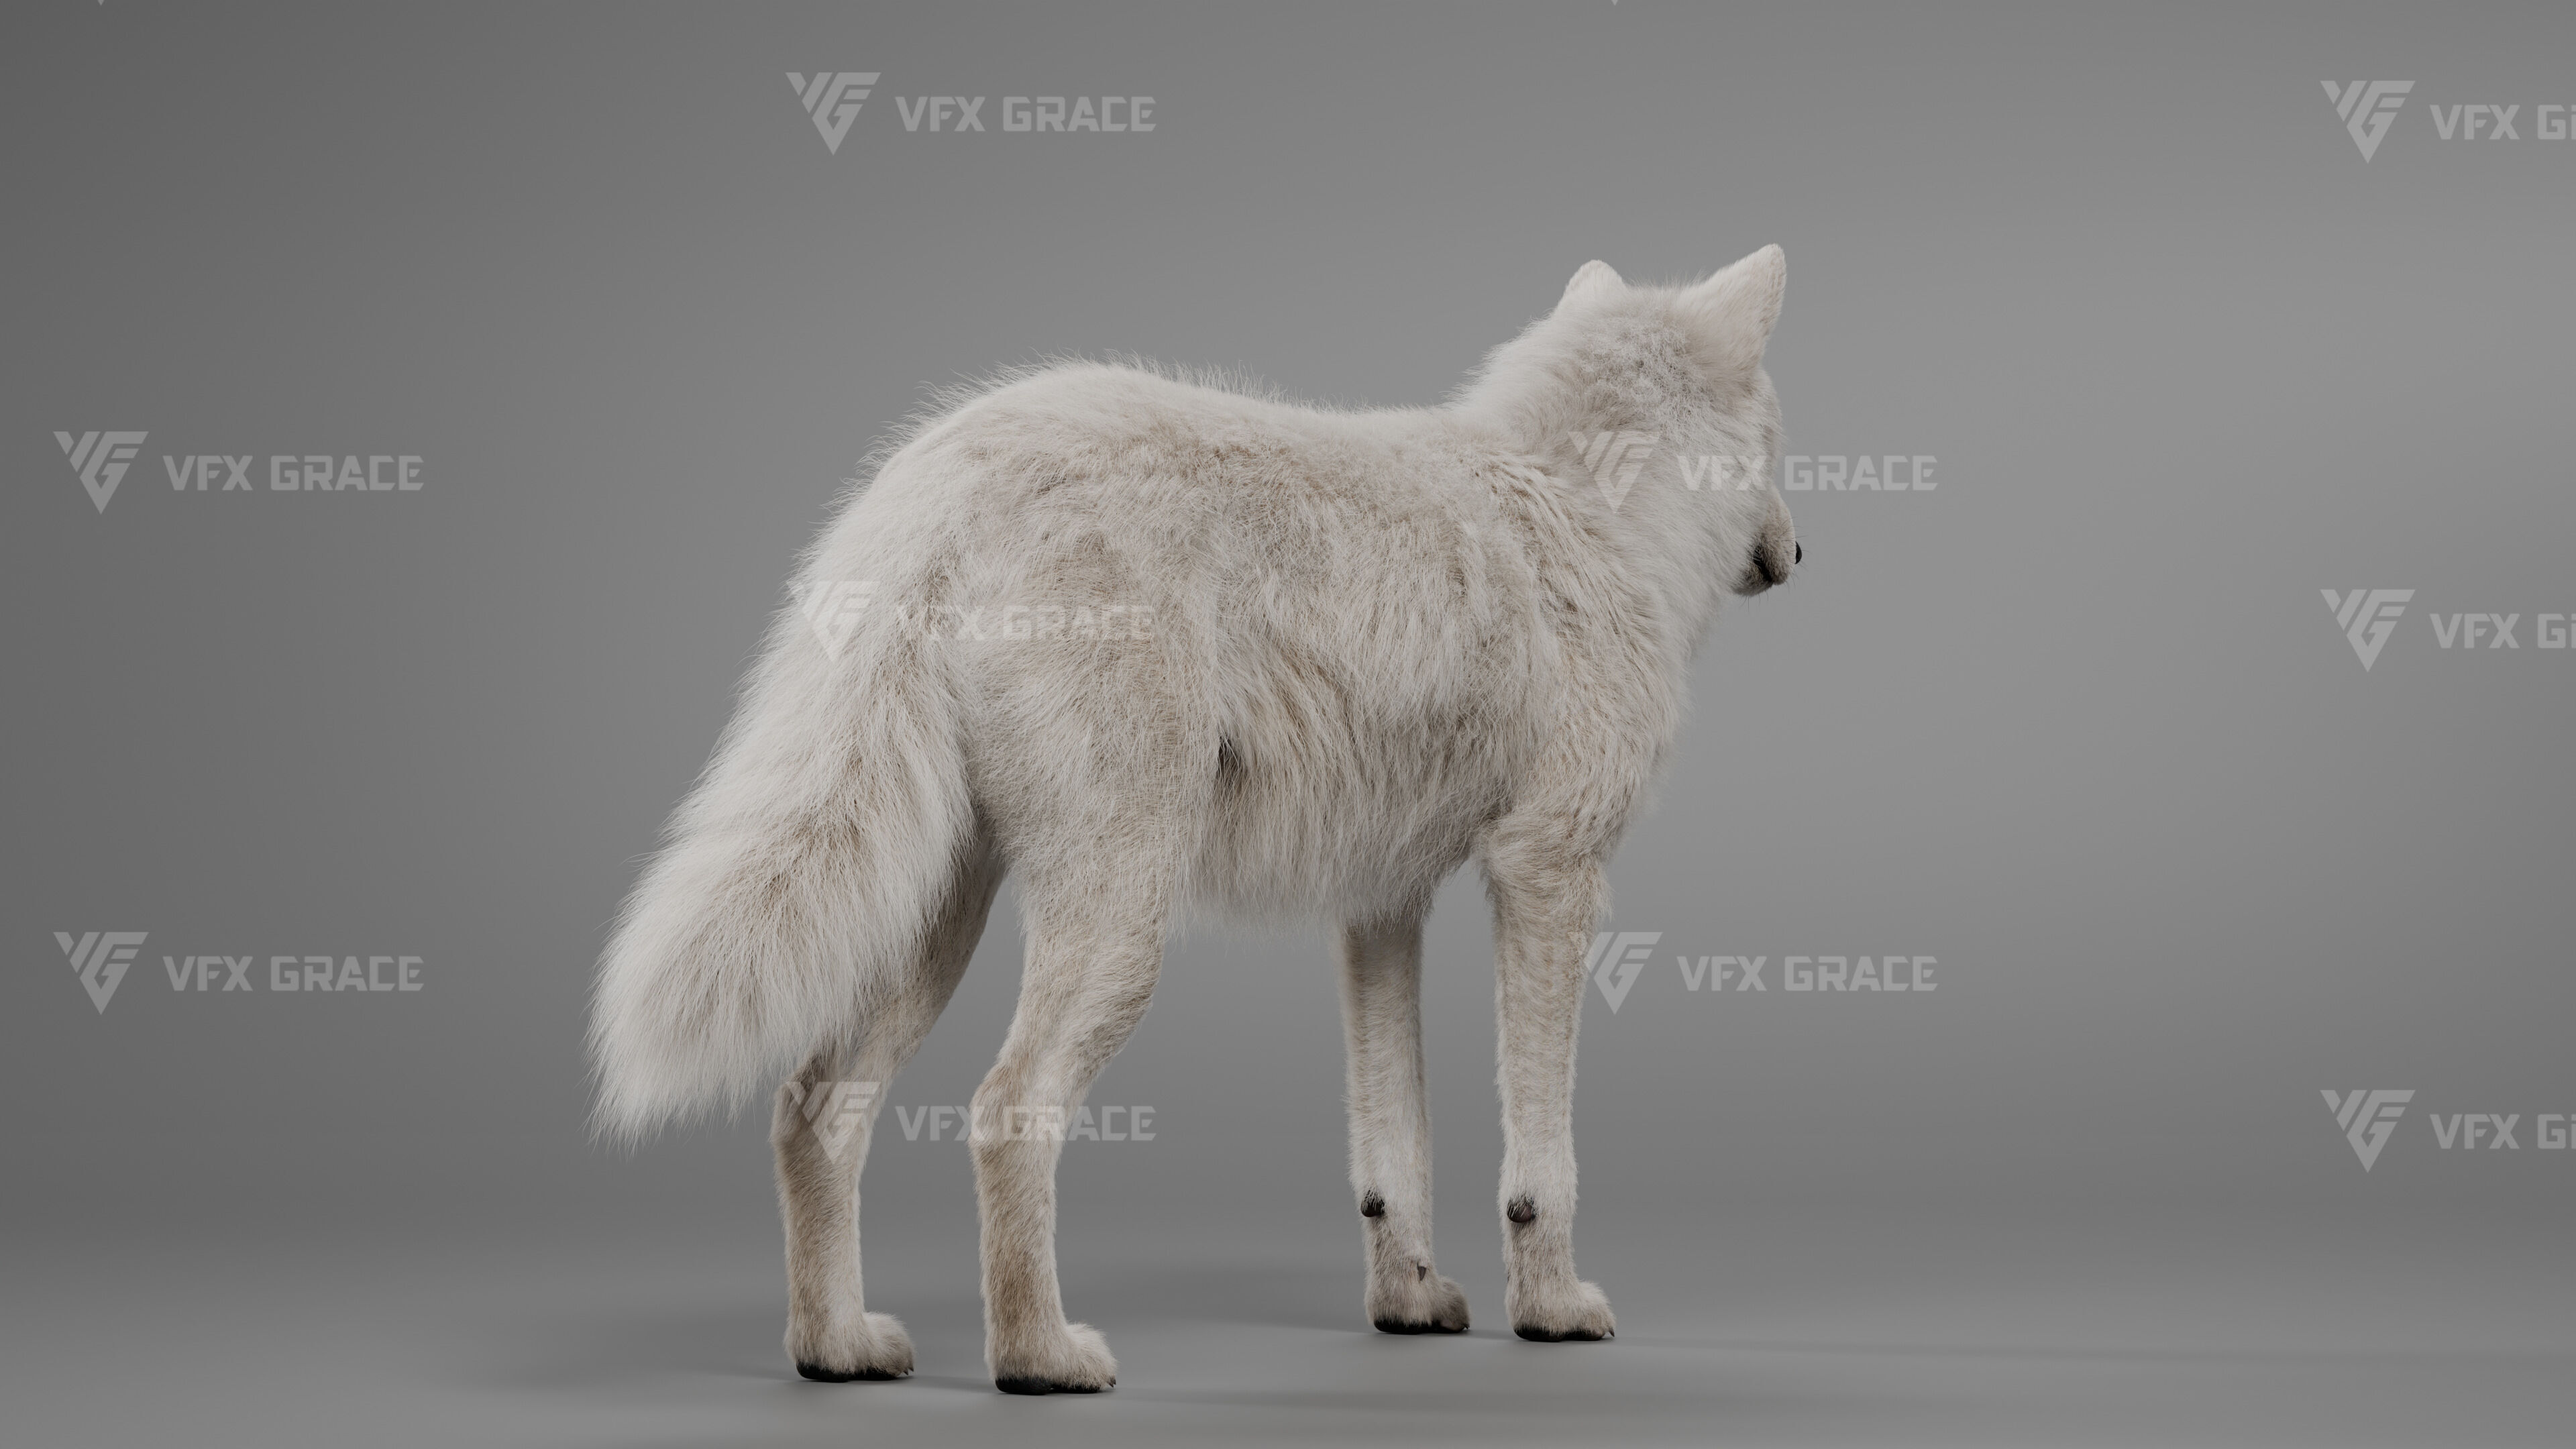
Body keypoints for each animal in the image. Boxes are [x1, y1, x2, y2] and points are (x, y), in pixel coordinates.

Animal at [589, 248, 1797, 1393]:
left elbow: (1392, 1151)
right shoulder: (1550, 872)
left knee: (812, 1111)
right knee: (1005, 1109)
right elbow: (1541, 1161)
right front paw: (1552, 1311)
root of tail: (942, 480)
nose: (1798, 554)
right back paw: (1041, 1360)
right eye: (1785, 440)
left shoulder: (1379, 904)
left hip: (937, 926)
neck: (1590, 509)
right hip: (1120, 929)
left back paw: (838, 1348)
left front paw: (1409, 1303)